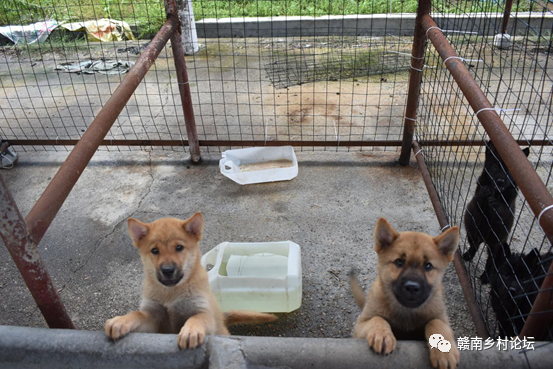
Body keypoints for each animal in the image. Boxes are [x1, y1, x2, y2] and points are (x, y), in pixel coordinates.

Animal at [104, 211, 276, 346]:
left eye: (179, 247)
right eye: (154, 250)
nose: (167, 270)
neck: (172, 293)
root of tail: (221, 317)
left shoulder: (203, 311)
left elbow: (196, 318)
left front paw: (190, 331)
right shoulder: (153, 319)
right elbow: (137, 314)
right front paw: (120, 321)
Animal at [352, 218, 460, 368]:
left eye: (428, 265)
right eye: (399, 262)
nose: (412, 287)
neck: (407, 311)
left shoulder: (442, 319)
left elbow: (436, 322)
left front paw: (444, 351)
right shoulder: (360, 326)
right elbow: (377, 319)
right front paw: (382, 334)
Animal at [462, 140, 532, 282]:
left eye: (509, 170)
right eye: (494, 166)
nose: (500, 181)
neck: (496, 193)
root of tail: (483, 239)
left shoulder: (508, 206)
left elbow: (502, 209)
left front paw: (497, 204)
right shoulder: (476, 203)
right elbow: (479, 199)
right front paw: (485, 193)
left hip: (496, 246)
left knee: (490, 262)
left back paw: (485, 277)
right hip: (472, 232)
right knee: (474, 246)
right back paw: (468, 255)